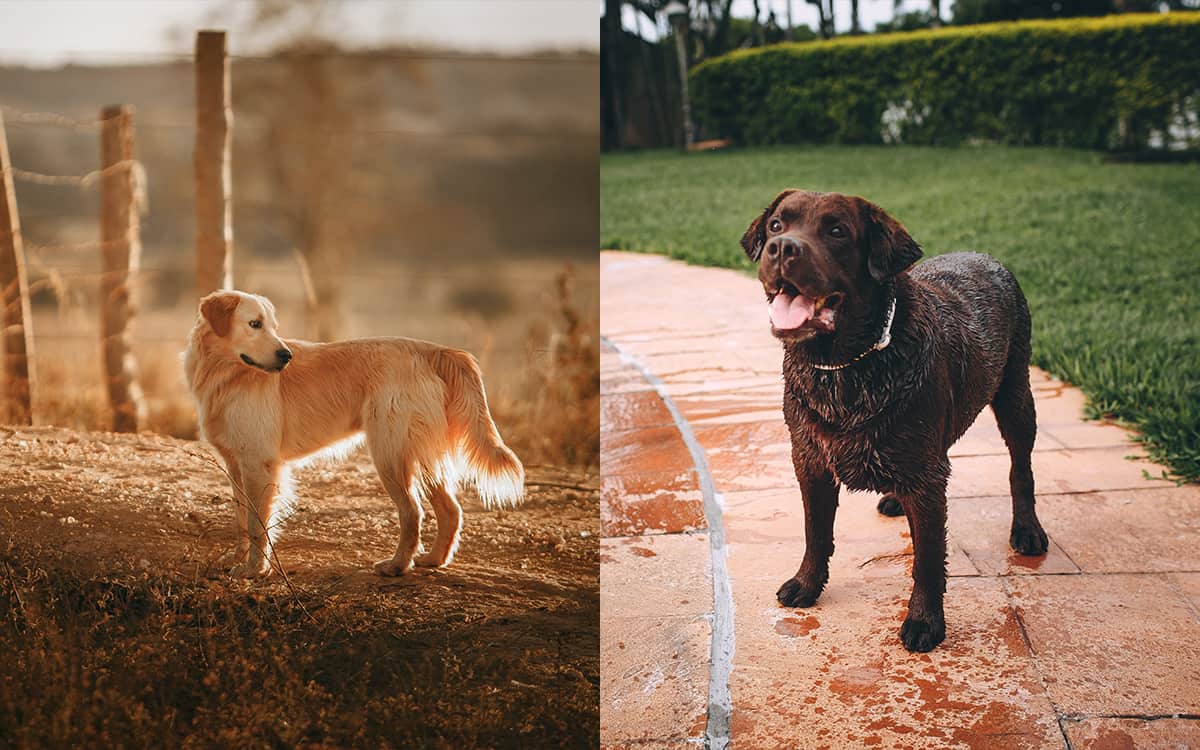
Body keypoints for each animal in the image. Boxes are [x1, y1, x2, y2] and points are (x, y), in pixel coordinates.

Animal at [183, 289, 525, 576]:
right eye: (255, 324)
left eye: (272, 326)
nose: (286, 356)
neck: (225, 372)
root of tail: (433, 350)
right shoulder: (236, 465)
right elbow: (241, 518)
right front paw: (238, 560)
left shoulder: (259, 464)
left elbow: (257, 524)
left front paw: (255, 570)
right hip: (420, 453)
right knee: (451, 511)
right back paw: (433, 560)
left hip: (389, 454)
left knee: (412, 512)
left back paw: (397, 565)